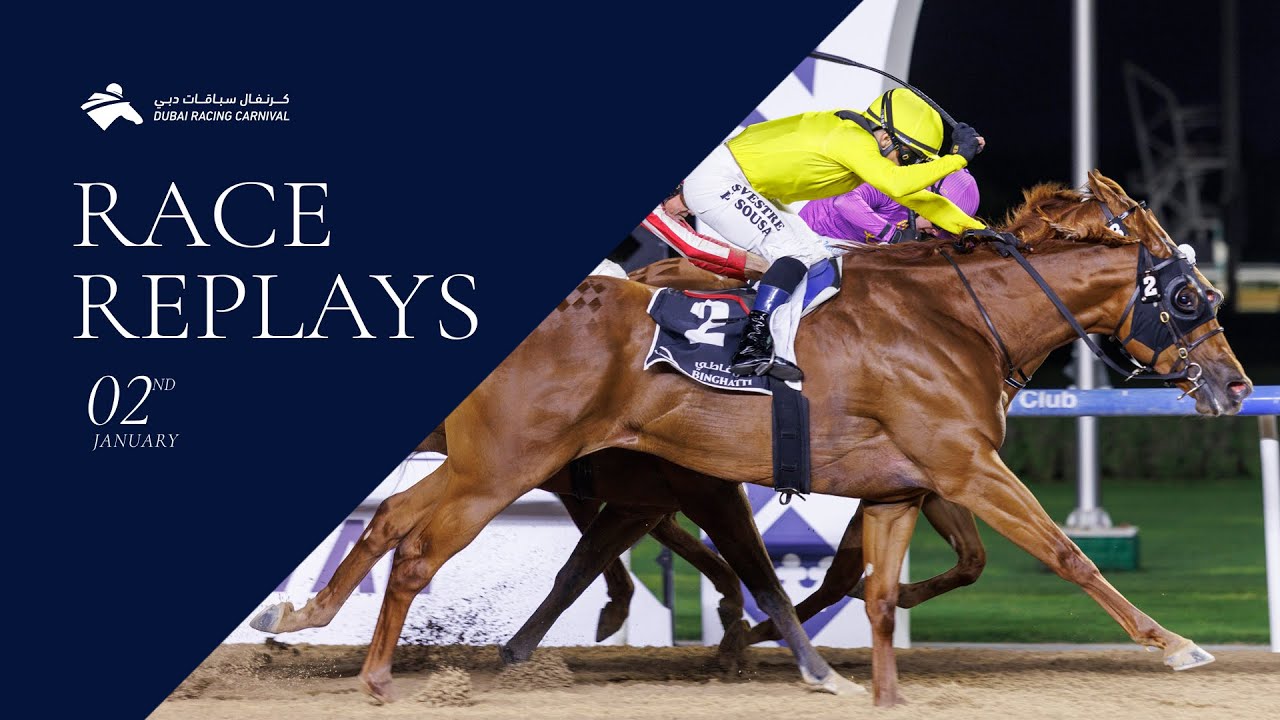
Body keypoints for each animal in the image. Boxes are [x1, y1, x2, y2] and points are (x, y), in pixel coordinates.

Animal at [254, 171, 1251, 707]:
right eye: (1189, 296)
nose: (1238, 386)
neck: (955, 318)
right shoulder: (965, 465)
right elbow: (1064, 554)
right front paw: (1175, 645)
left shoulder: (901, 484)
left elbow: (876, 590)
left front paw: (875, 687)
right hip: (507, 463)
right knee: (422, 546)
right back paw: (378, 677)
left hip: (491, 460)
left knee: (395, 520)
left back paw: (302, 618)